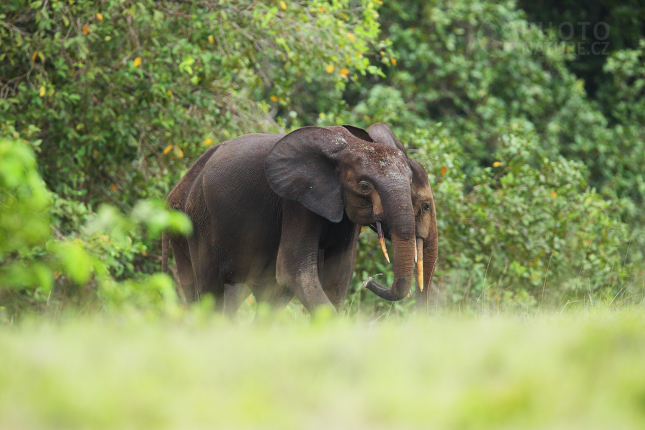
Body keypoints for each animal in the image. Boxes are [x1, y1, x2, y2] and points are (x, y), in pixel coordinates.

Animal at [162, 122, 438, 314]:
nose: (370, 281)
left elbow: (339, 274)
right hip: (194, 221)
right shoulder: (297, 202)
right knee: (207, 291)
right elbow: (293, 270)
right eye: (364, 187)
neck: (349, 145)